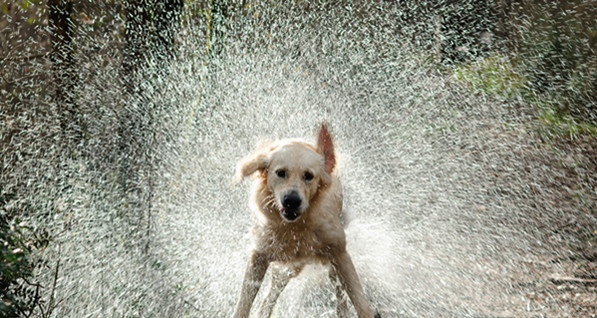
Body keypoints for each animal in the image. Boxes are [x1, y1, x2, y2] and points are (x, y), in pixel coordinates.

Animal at [233, 124, 378, 318]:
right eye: (280, 173)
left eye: (308, 175)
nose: (291, 200)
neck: (296, 227)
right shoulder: (259, 256)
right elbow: (243, 303)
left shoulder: (339, 254)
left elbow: (360, 302)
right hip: (287, 268)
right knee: (269, 297)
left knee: (339, 292)